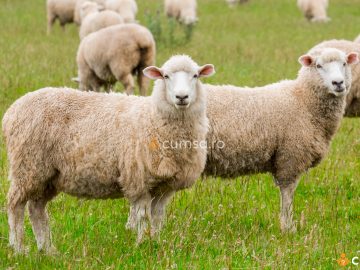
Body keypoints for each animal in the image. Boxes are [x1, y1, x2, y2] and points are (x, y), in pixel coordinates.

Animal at [2, 54, 215, 253]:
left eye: (195, 75)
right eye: (166, 76)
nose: (182, 97)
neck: (153, 118)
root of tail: (12, 110)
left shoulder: (164, 187)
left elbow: (157, 218)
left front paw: (155, 243)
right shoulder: (138, 180)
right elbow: (142, 217)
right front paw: (142, 245)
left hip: (47, 175)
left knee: (36, 209)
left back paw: (47, 249)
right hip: (28, 166)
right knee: (15, 206)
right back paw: (18, 248)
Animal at [204, 48, 358, 232]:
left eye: (344, 63)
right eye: (318, 65)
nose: (338, 83)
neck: (303, 100)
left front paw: (287, 225)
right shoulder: (290, 156)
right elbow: (287, 194)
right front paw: (288, 228)